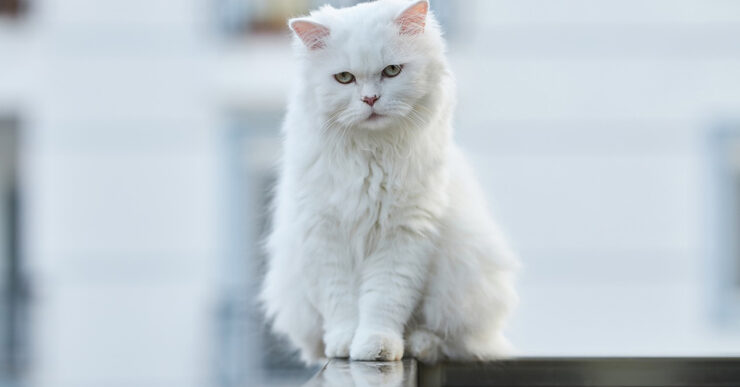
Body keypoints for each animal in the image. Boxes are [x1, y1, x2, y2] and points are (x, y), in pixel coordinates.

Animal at [258, 0, 516, 366]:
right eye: (344, 78)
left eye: (392, 71)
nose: (370, 99)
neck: (372, 153)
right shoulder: (325, 235)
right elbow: (341, 304)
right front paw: (344, 345)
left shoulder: (404, 235)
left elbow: (382, 301)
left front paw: (376, 348)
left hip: (461, 288)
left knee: (448, 339)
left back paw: (419, 344)